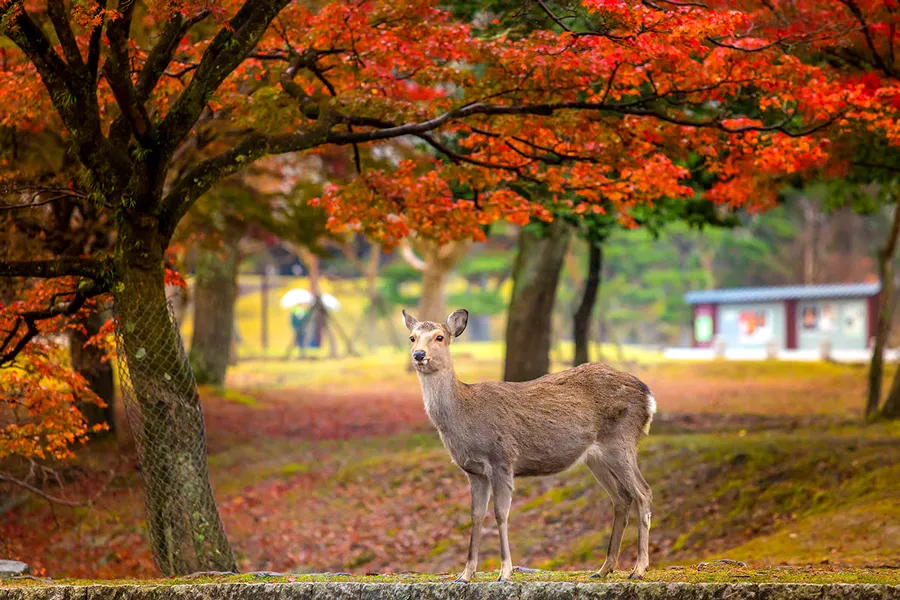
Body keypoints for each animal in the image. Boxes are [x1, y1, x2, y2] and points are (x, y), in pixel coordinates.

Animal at [404, 310, 656, 580]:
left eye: (439, 337)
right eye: (412, 337)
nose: (419, 355)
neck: (465, 413)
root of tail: (648, 397)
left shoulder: (502, 459)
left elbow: (500, 513)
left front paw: (505, 572)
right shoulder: (473, 471)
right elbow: (476, 516)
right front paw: (465, 574)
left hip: (621, 441)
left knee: (643, 492)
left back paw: (639, 569)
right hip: (596, 458)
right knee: (621, 498)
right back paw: (604, 568)